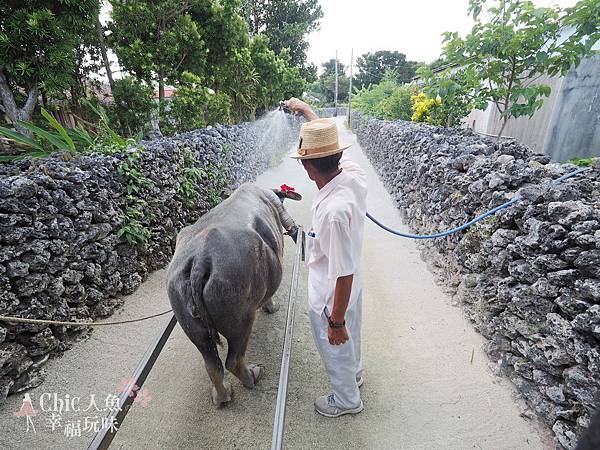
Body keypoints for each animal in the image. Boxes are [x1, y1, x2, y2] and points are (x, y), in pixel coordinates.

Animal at [166, 181, 300, 406]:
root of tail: (200, 260)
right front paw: (272, 308)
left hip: (188, 317)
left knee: (212, 363)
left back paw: (222, 396)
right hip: (240, 317)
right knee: (234, 359)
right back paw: (253, 376)